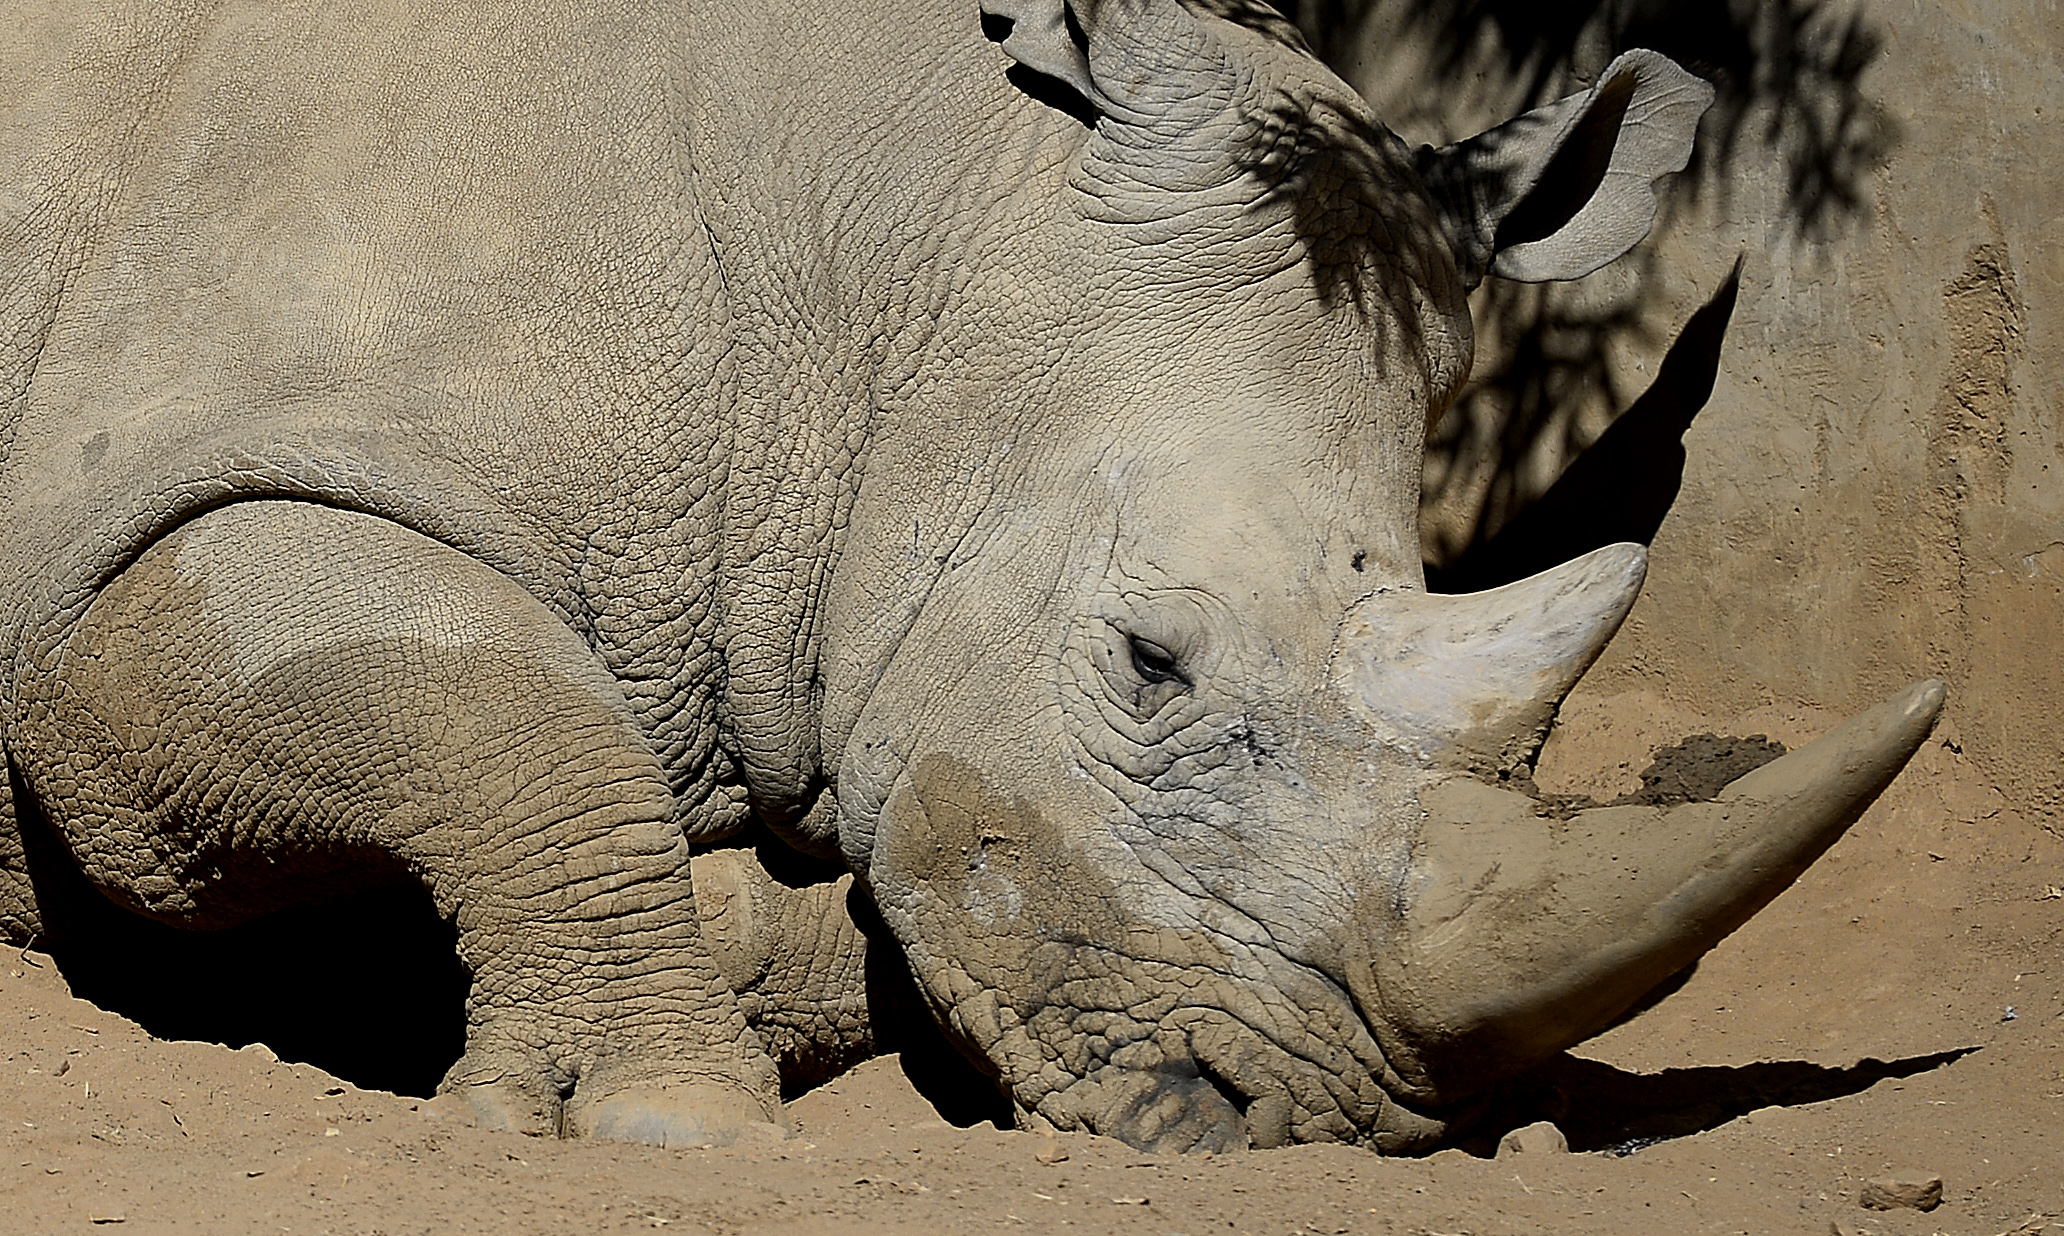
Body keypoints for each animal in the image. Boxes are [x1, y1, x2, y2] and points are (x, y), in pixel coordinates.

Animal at [0, 0, 1940, 1147]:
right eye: (1150, 663)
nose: (1303, 1119)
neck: (885, 268)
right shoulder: (135, 530)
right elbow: (493, 715)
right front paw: (665, 1115)